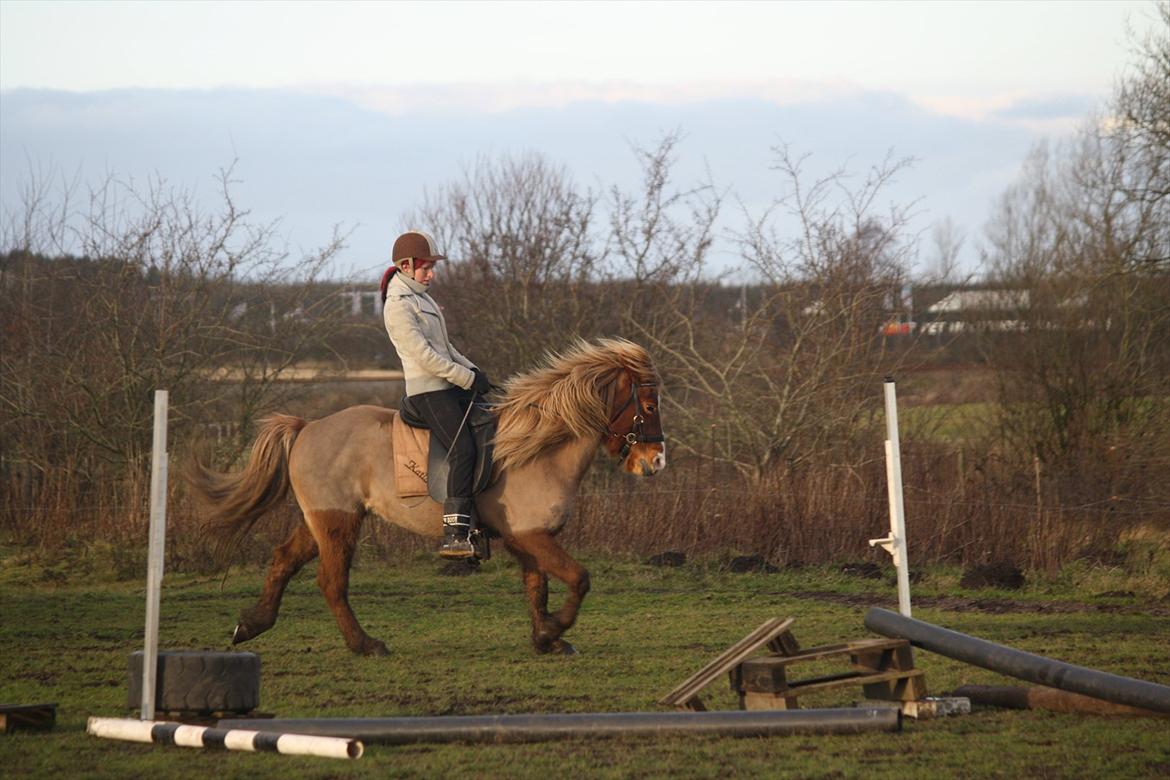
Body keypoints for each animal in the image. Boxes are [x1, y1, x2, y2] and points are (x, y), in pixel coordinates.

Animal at [191, 339, 669, 654]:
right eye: (648, 407)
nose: (656, 462)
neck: (537, 449)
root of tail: (307, 426)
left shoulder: (528, 539)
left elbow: (538, 587)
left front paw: (544, 639)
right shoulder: (532, 536)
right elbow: (578, 578)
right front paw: (555, 633)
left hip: (321, 521)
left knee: (283, 561)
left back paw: (250, 626)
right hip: (339, 522)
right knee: (331, 582)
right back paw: (366, 645)